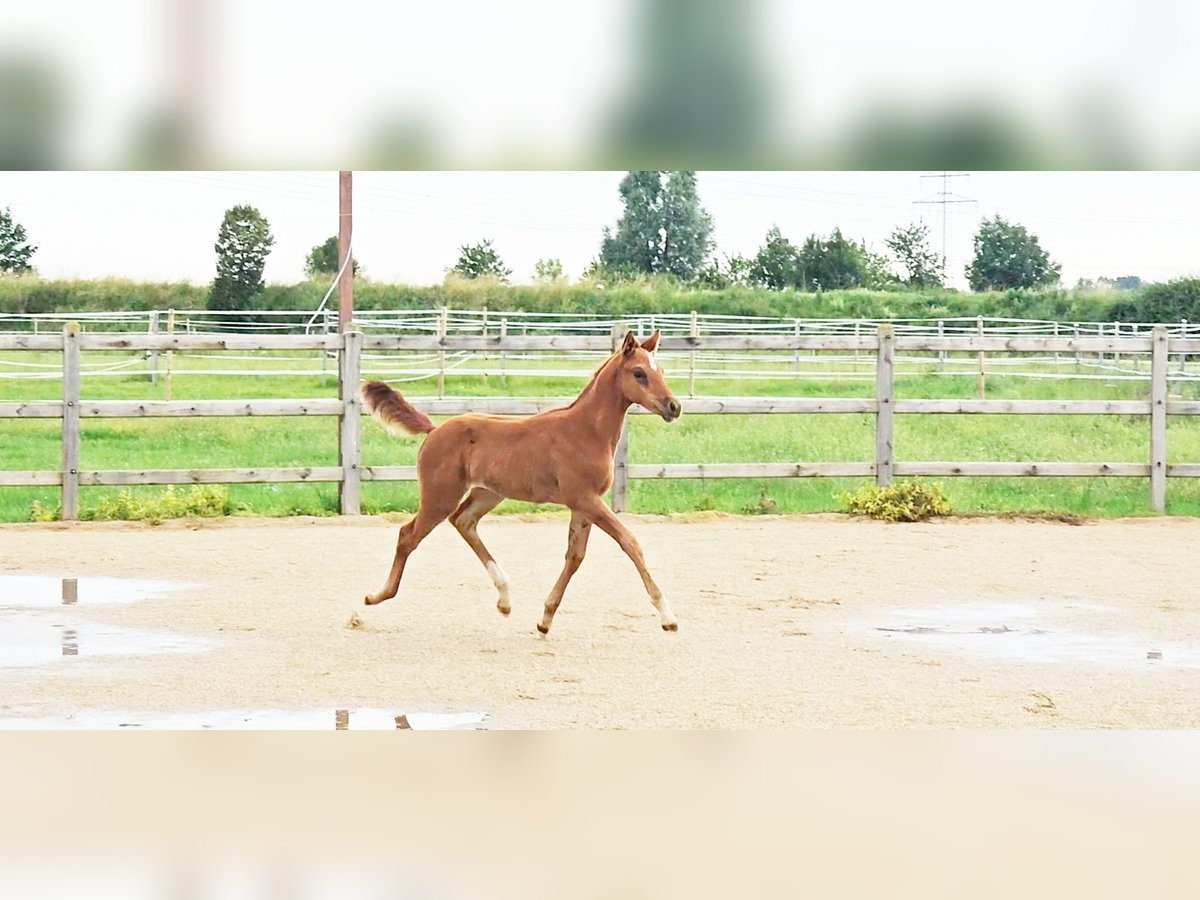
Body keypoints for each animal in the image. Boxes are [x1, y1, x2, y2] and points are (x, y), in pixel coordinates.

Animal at [355, 328, 681, 633]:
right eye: (639, 373)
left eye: (662, 371)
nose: (673, 406)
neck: (586, 431)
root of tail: (434, 430)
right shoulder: (585, 499)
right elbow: (630, 542)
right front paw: (668, 617)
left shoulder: (583, 505)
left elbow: (575, 557)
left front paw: (545, 619)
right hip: (440, 496)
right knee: (408, 534)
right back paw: (375, 597)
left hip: (488, 493)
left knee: (463, 521)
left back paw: (504, 598)